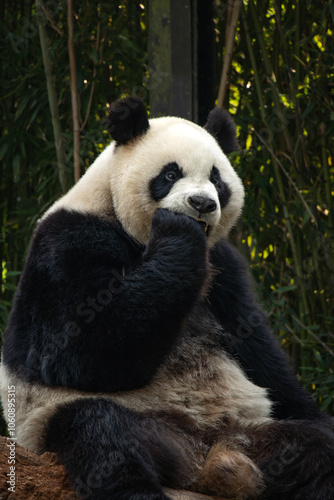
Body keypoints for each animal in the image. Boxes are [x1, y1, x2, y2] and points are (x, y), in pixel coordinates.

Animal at [1, 96, 334, 500]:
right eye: (171, 175)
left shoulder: (224, 268)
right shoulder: (65, 245)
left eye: (216, 179)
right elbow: (75, 348)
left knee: (317, 446)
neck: (135, 234)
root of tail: (205, 457)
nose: (201, 203)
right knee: (105, 440)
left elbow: (257, 348)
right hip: (66, 416)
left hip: (255, 432)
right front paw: (178, 232)